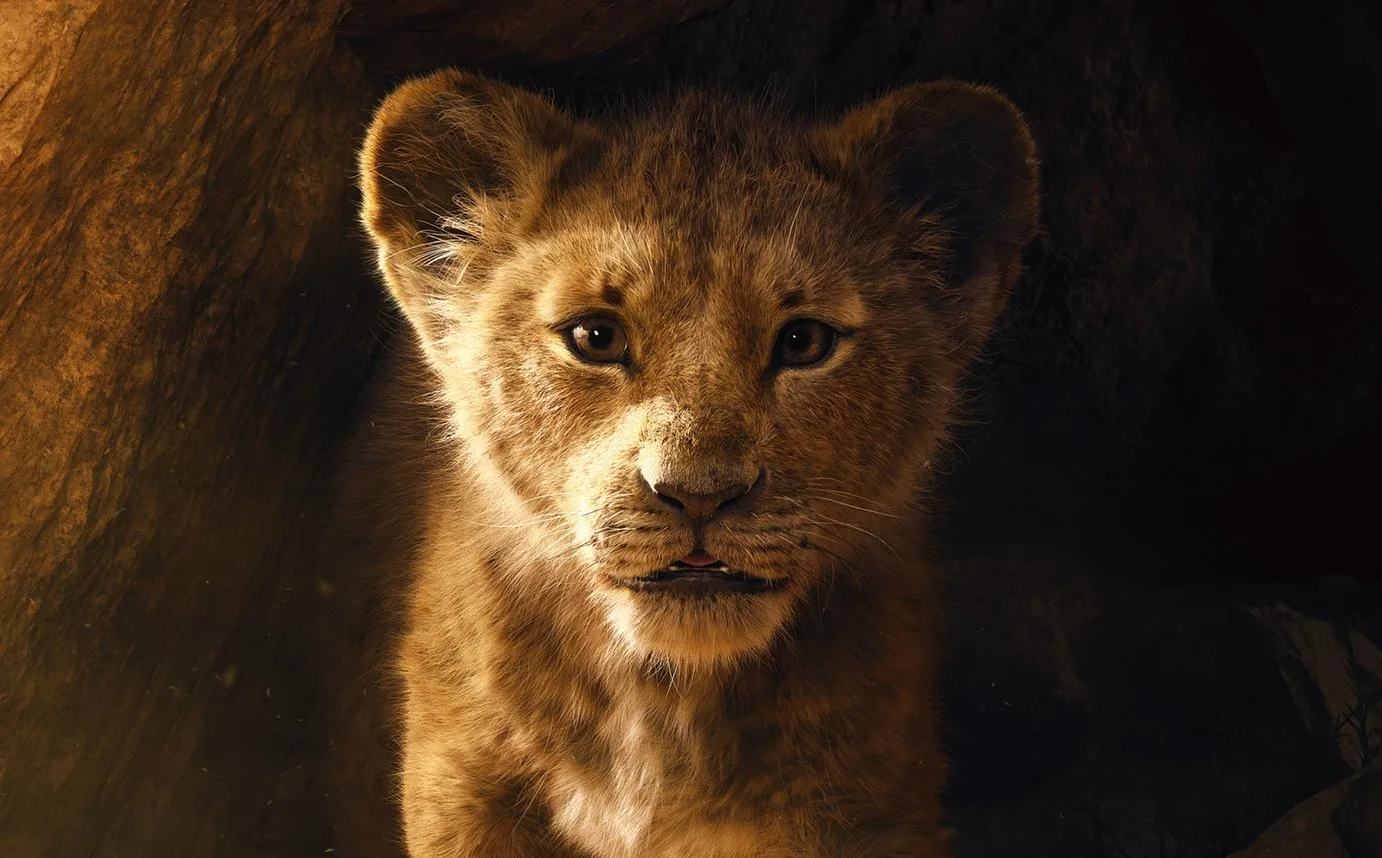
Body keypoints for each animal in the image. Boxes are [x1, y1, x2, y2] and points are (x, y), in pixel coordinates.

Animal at [327, 69, 1038, 858]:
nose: (699, 494)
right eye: (596, 337)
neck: (662, 706)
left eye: (804, 342)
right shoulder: (466, 794)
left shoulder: (861, 808)